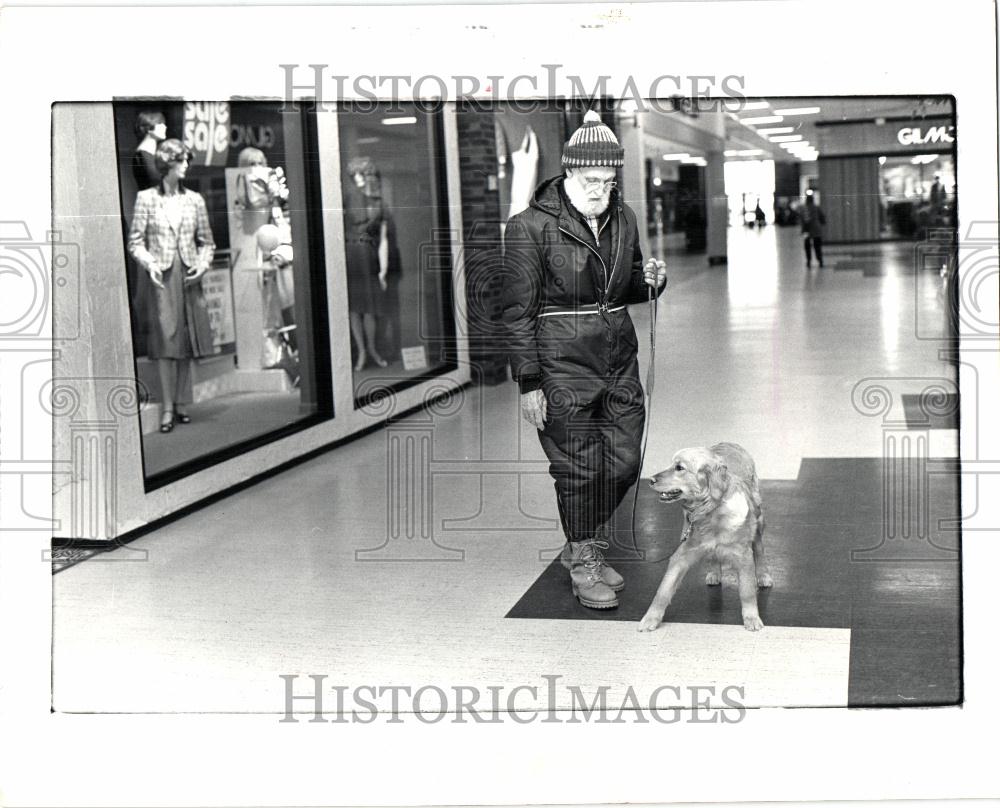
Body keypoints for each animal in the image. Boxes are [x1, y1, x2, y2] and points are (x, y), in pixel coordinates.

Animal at [640, 442, 772, 632]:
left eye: (679, 468)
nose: (650, 479)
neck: (711, 511)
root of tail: (730, 443)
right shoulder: (682, 554)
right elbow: (664, 589)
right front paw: (650, 618)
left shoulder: (743, 556)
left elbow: (747, 592)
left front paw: (752, 618)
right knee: (713, 554)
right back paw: (714, 572)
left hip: (758, 519)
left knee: (760, 548)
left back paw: (763, 575)